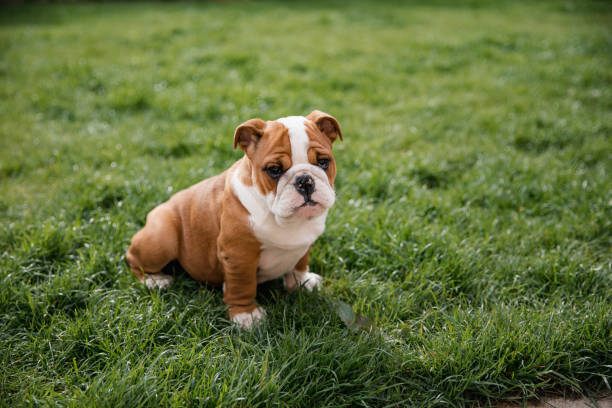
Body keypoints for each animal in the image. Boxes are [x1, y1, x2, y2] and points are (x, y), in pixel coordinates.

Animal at [126, 110, 342, 330]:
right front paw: (246, 315)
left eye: (323, 162)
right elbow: (242, 285)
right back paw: (155, 280)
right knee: (133, 258)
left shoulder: (305, 243)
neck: (286, 220)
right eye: (274, 169)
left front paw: (302, 282)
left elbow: (300, 263)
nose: (305, 181)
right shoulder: (239, 254)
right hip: (162, 237)